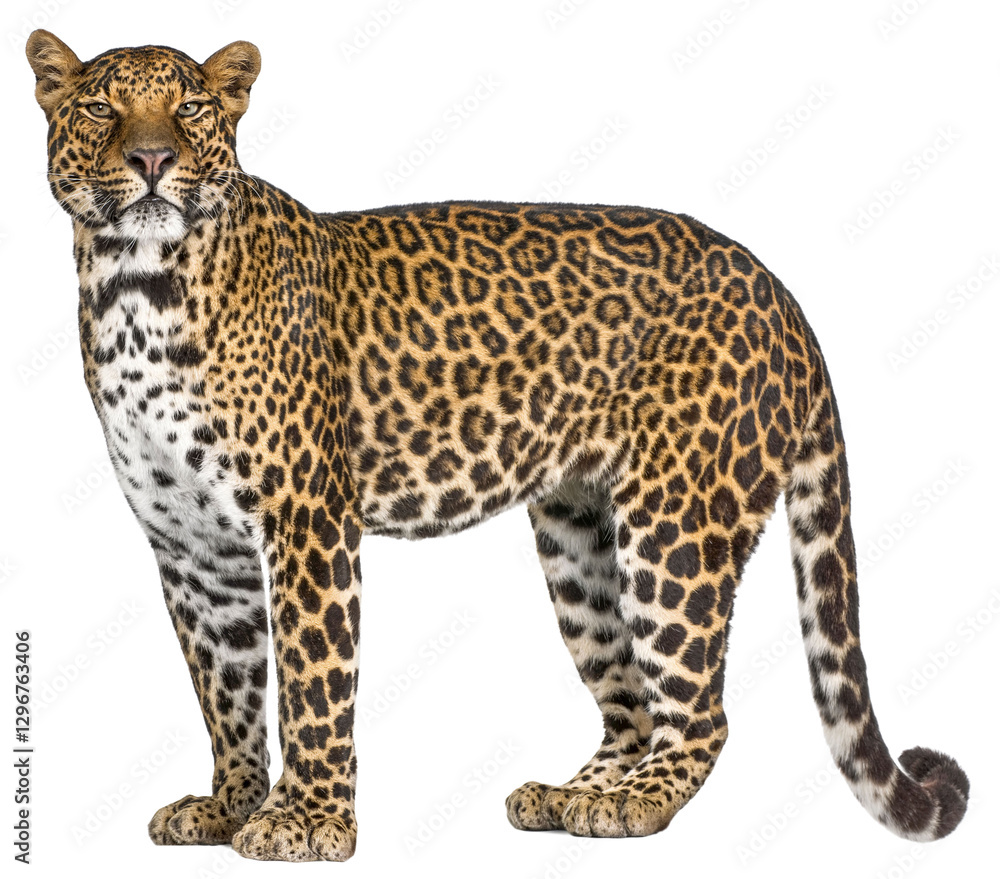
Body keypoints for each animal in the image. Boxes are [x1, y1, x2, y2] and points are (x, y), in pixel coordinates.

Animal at [26, 29, 969, 862]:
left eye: (189, 108)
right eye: (103, 108)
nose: (153, 160)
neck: (135, 286)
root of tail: (780, 290)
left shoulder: (307, 521)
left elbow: (312, 681)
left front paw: (308, 821)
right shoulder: (192, 544)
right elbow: (227, 687)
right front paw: (229, 806)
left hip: (676, 525)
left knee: (700, 711)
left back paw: (634, 803)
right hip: (577, 538)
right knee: (630, 700)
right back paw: (573, 795)